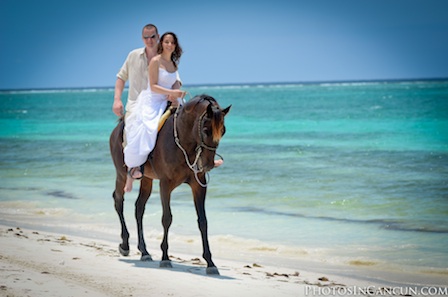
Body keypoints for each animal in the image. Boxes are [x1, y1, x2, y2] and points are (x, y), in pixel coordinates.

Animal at [108, 93, 231, 274]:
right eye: (206, 130)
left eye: (223, 131)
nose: (208, 165)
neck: (185, 143)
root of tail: (118, 127)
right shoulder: (165, 185)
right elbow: (167, 218)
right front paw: (165, 257)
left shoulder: (199, 185)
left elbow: (203, 221)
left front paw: (210, 263)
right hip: (122, 175)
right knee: (118, 201)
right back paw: (125, 244)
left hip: (147, 179)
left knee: (139, 208)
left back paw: (144, 251)